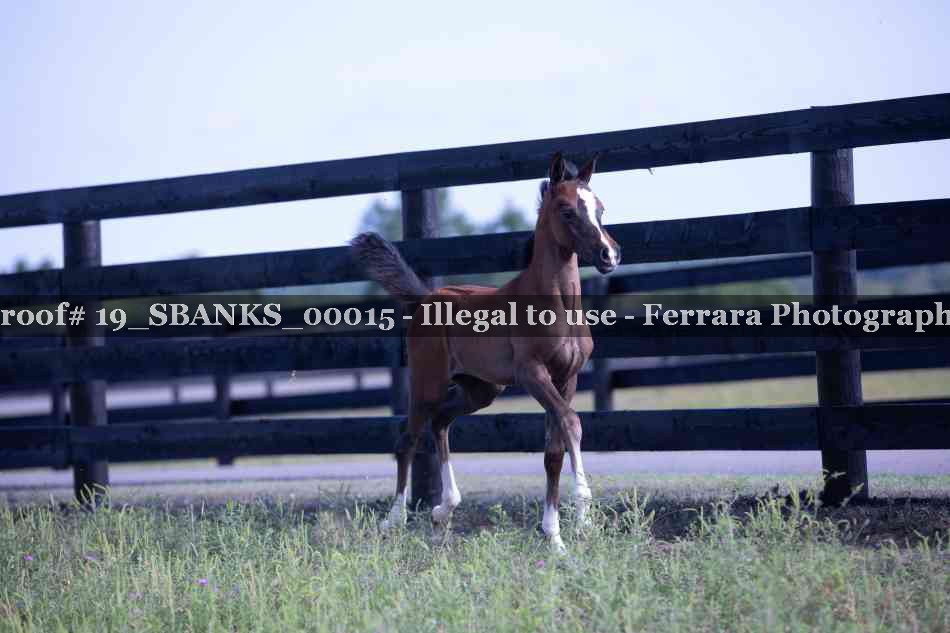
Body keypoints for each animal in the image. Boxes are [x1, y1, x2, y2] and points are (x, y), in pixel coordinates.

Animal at [350, 152, 620, 552]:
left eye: (600, 208)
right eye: (567, 210)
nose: (609, 254)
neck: (557, 304)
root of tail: (427, 298)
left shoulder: (566, 378)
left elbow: (553, 452)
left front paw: (555, 537)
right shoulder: (533, 374)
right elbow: (572, 422)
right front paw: (583, 513)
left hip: (481, 389)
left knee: (440, 422)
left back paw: (443, 510)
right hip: (428, 382)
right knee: (408, 439)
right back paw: (394, 520)